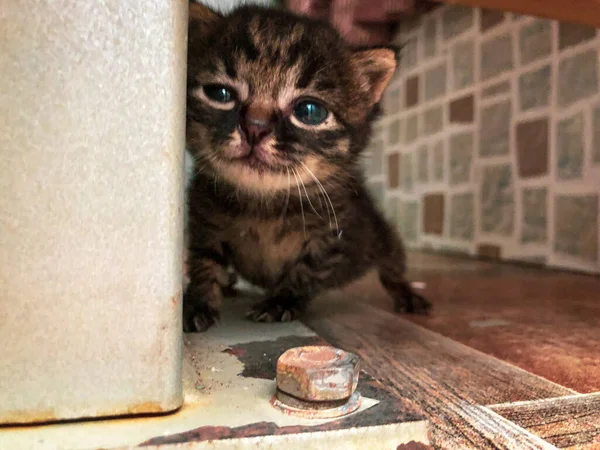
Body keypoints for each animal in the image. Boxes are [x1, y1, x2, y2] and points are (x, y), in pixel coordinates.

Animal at [185, 1, 428, 332]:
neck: (264, 205)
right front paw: (197, 300)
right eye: (220, 94)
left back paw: (406, 292)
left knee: (393, 262)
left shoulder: (338, 234)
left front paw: (281, 300)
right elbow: (202, 261)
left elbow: (308, 269)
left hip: (379, 233)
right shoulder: (202, 221)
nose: (255, 128)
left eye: (309, 111)